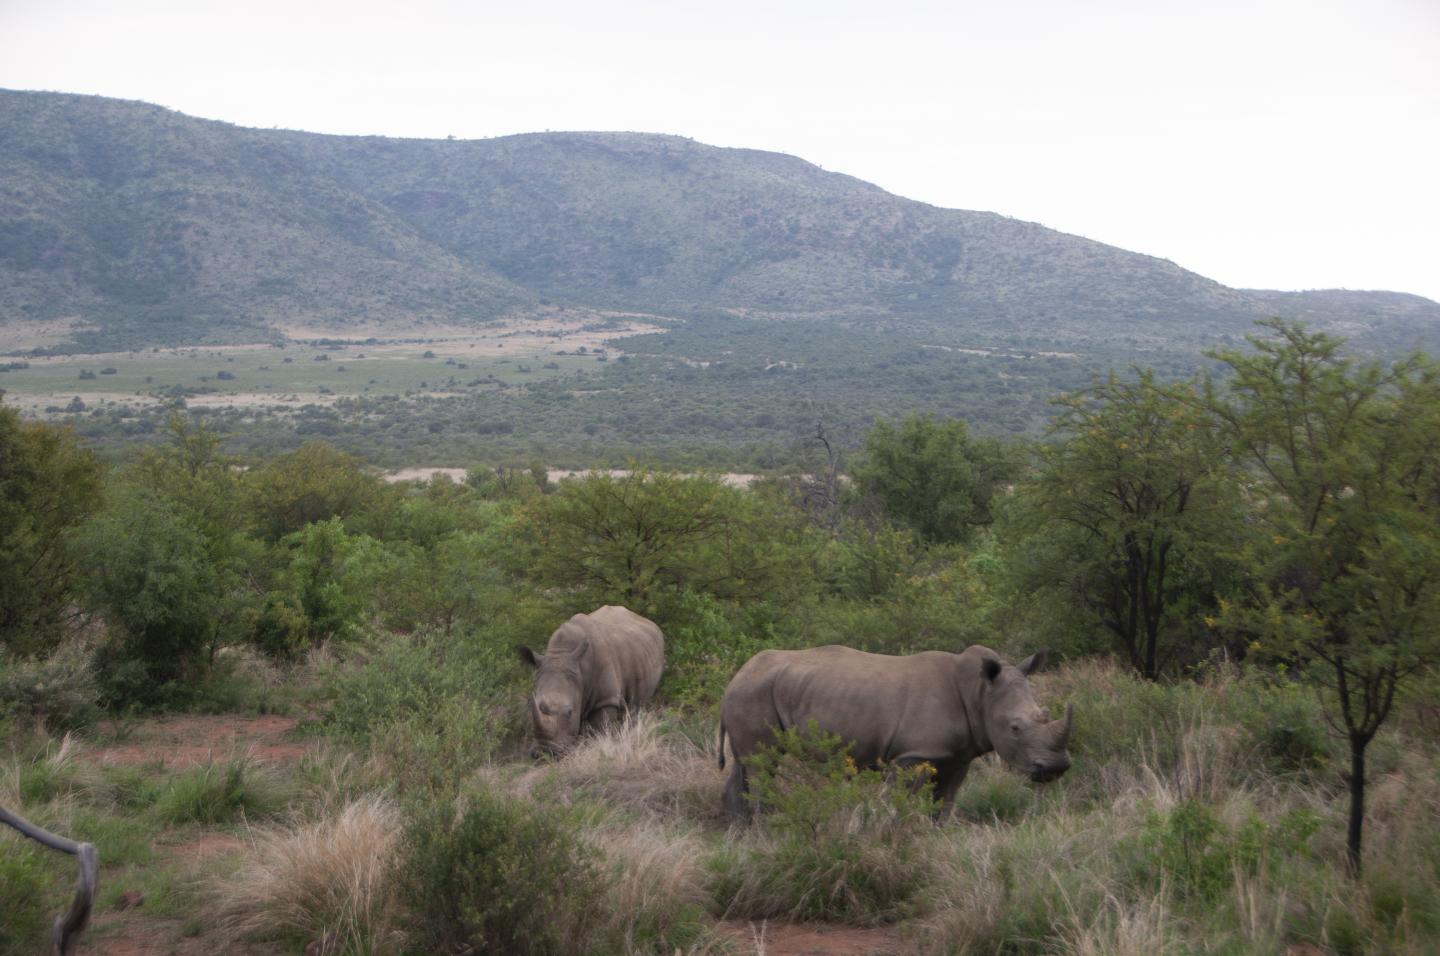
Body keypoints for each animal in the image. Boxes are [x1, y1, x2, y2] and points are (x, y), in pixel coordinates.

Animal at [517, 605, 665, 757]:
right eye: (531, 705)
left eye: (569, 712)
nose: (544, 752)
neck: (562, 654)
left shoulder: (606, 699)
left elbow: (599, 730)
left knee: (637, 706)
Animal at [718, 644, 1073, 818]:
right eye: (1015, 728)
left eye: (1044, 715)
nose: (1056, 768)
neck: (979, 693)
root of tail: (736, 675)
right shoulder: (913, 754)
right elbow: (895, 801)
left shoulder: (959, 757)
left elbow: (944, 804)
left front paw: (936, 835)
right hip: (752, 692)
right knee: (762, 763)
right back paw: (763, 827)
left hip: (756, 690)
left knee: (745, 765)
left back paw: (740, 831)